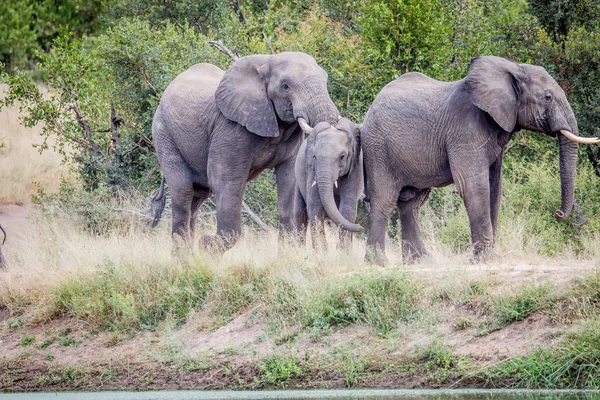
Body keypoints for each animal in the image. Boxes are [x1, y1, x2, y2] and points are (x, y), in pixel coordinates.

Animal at [152, 51, 340, 252]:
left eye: (326, 81)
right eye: (285, 86)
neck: (267, 61)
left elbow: (289, 180)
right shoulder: (230, 127)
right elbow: (225, 180)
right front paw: (207, 245)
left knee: (198, 196)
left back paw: (191, 255)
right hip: (164, 133)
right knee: (183, 190)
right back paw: (185, 256)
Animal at [292, 117, 364, 247]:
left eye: (342, 156)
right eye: (314, 157)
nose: (361, 227)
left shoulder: (355, 170)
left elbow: (347, 209)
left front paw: (343, 251)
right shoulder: (311, 169)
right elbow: (315, 208)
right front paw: (321, 251)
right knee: (300, 213)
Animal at [360, 55, 600, 266]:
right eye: (548, 97)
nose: (558, 214)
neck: (513, 68)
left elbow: (495, 187)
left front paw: (491, 258)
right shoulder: (465, 130)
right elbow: (475, 186)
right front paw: (487, 260)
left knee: (411, 203)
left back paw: (420, 262)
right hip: (378, 147)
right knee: (385, 200)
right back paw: (378, 263)